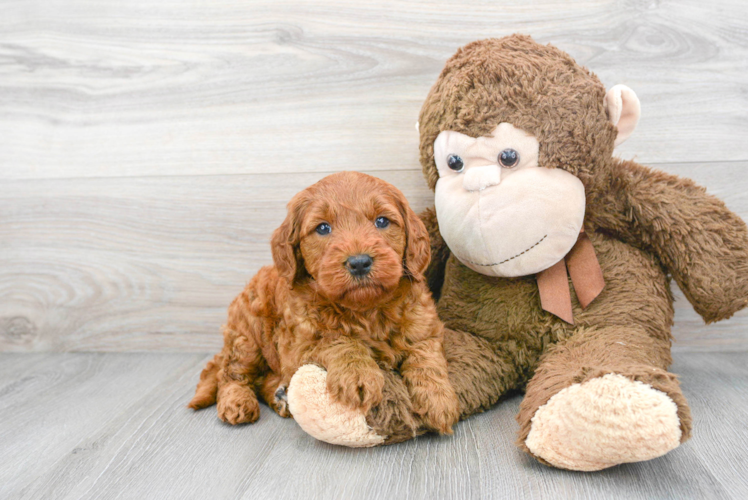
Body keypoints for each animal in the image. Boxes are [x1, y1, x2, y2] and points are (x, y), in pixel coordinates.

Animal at [188, 171, 456, 434]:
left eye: (381, 221)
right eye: (323, 228)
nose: (359, 262)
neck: (366, 310)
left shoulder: (425, 327)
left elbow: (426, 357)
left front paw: (438, 399)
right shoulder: (298, 346)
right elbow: (337, 340)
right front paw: (359, 374)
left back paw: (280, 397)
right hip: (247, 338)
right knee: (231, 374)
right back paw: (237, 403)